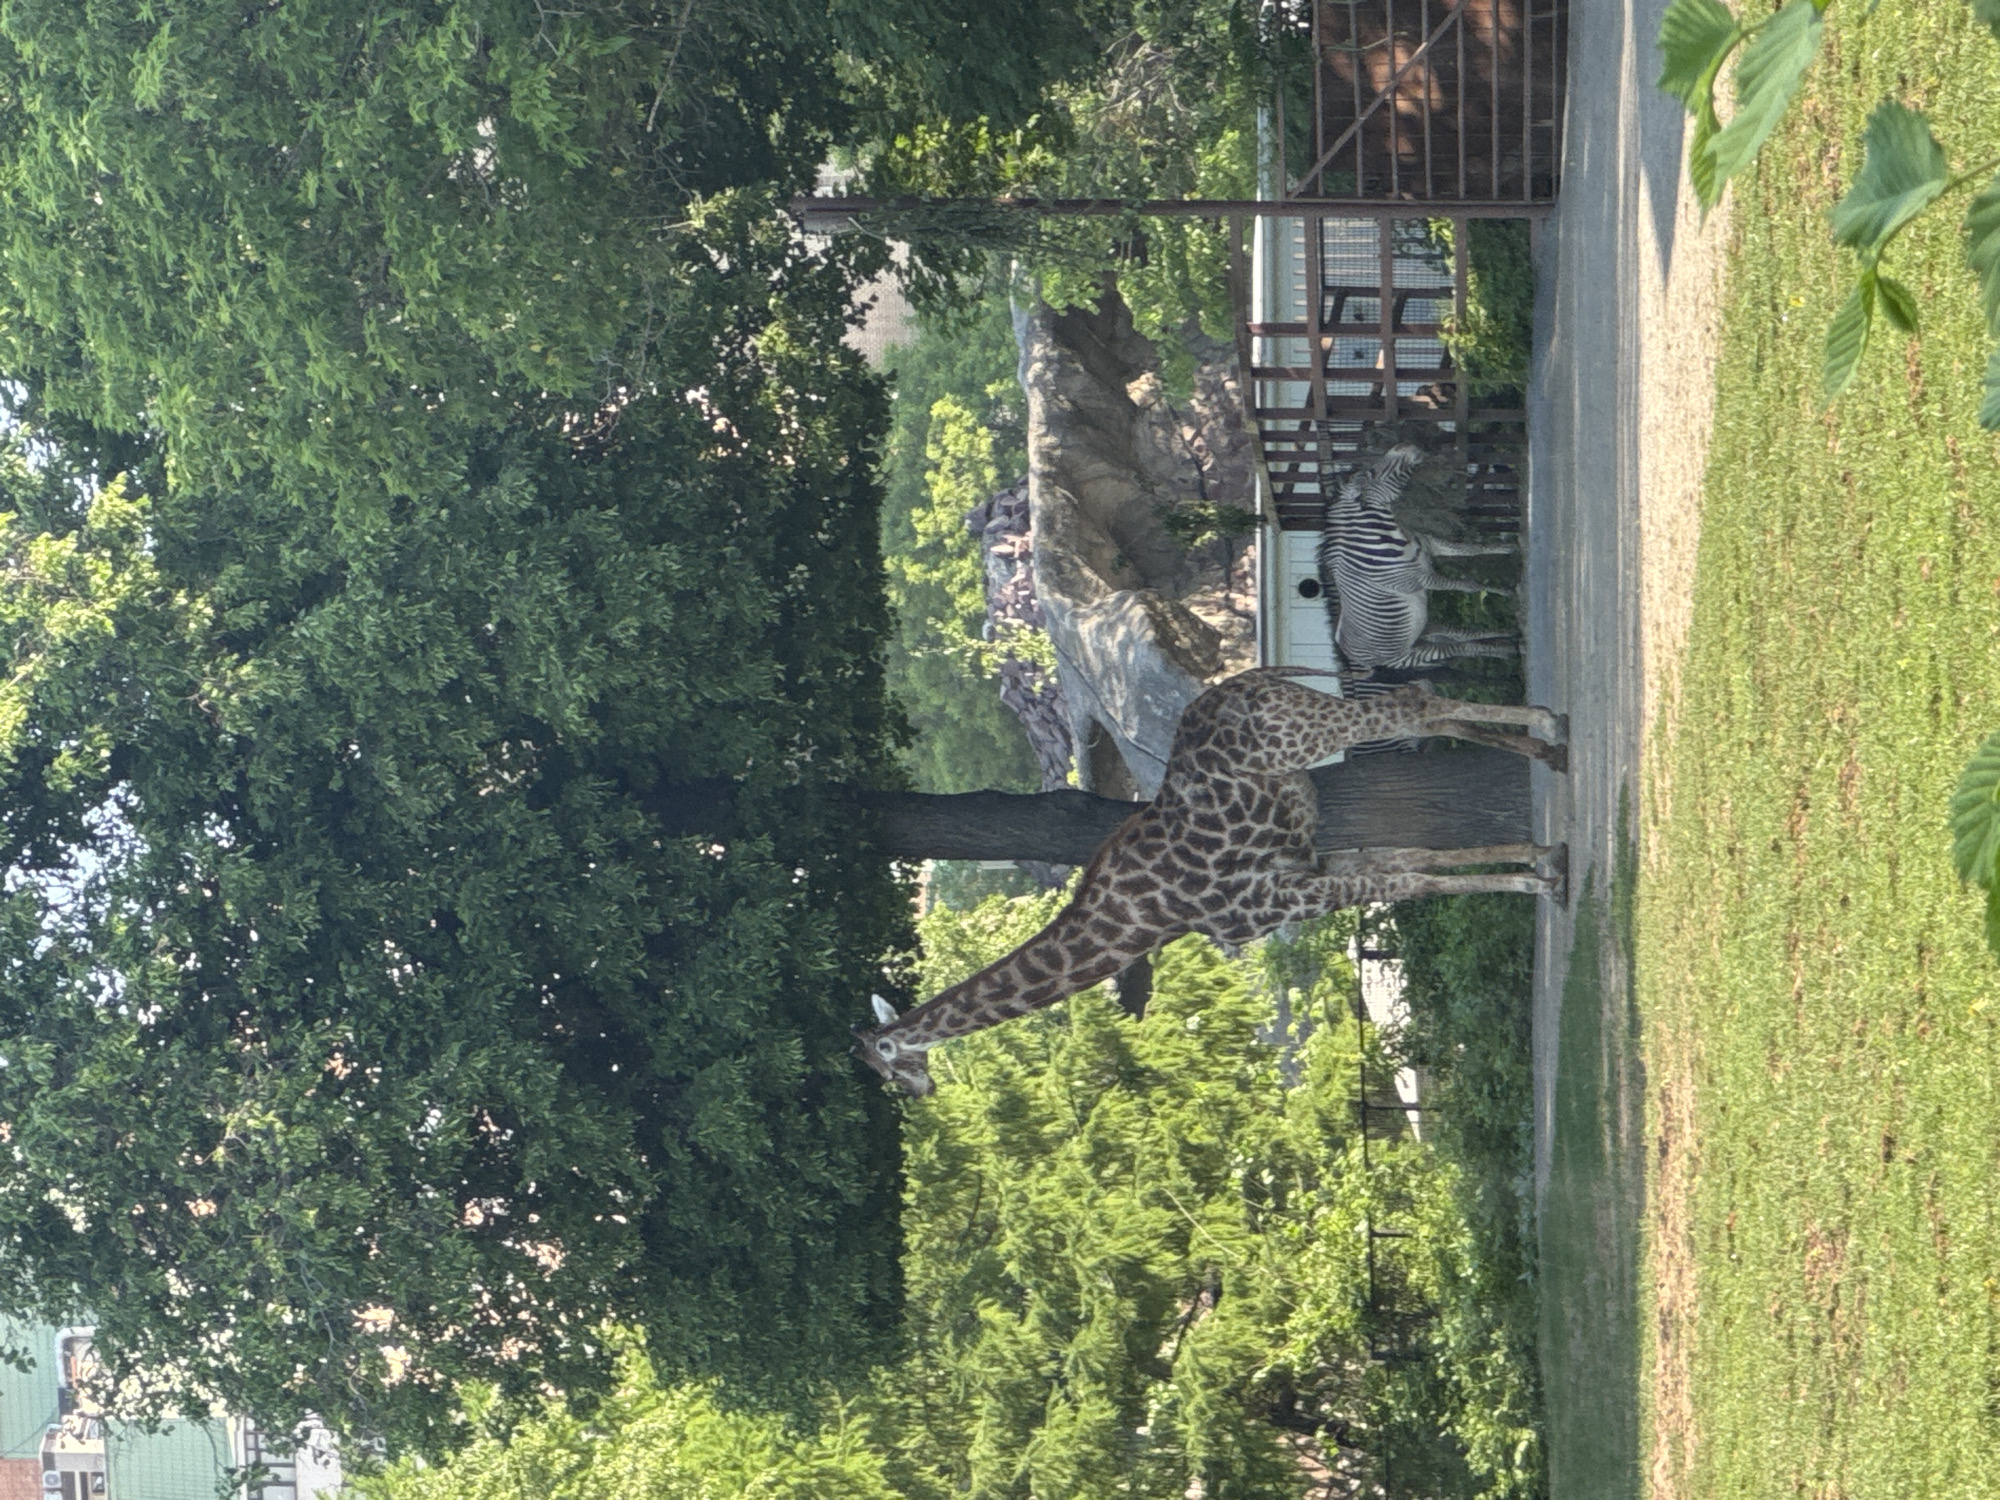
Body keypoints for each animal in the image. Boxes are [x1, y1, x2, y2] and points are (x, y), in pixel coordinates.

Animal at [854, 668, 1567, 1095]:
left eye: (887, 1066)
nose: (923, 1091)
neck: (1152, 921)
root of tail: (1252, 677)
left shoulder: (1279, 900)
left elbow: (1415, 880)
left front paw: (1540, 880)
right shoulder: (1308, 870)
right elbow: (1416, 862)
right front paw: (1542, 860)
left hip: (1306, 732)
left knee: (1411, 705)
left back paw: (1550, 723)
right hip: (1311, 714)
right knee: (1422, 710)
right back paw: (1545, 751)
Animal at [1316, 442, 1519, 676]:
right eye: (1371, 473)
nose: (1404, 445)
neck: (1386, 538)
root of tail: (1349, 656)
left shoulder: (1430, 545)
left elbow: (1474, 549)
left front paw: (1509, 554)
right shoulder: (1422, 580)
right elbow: (1470, 586)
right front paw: (1506, 591)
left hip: (1424, 629)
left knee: (1462, 635)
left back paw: (1508, 640)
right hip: (1405, 656)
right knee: (1459, 647)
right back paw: (1508, 650)